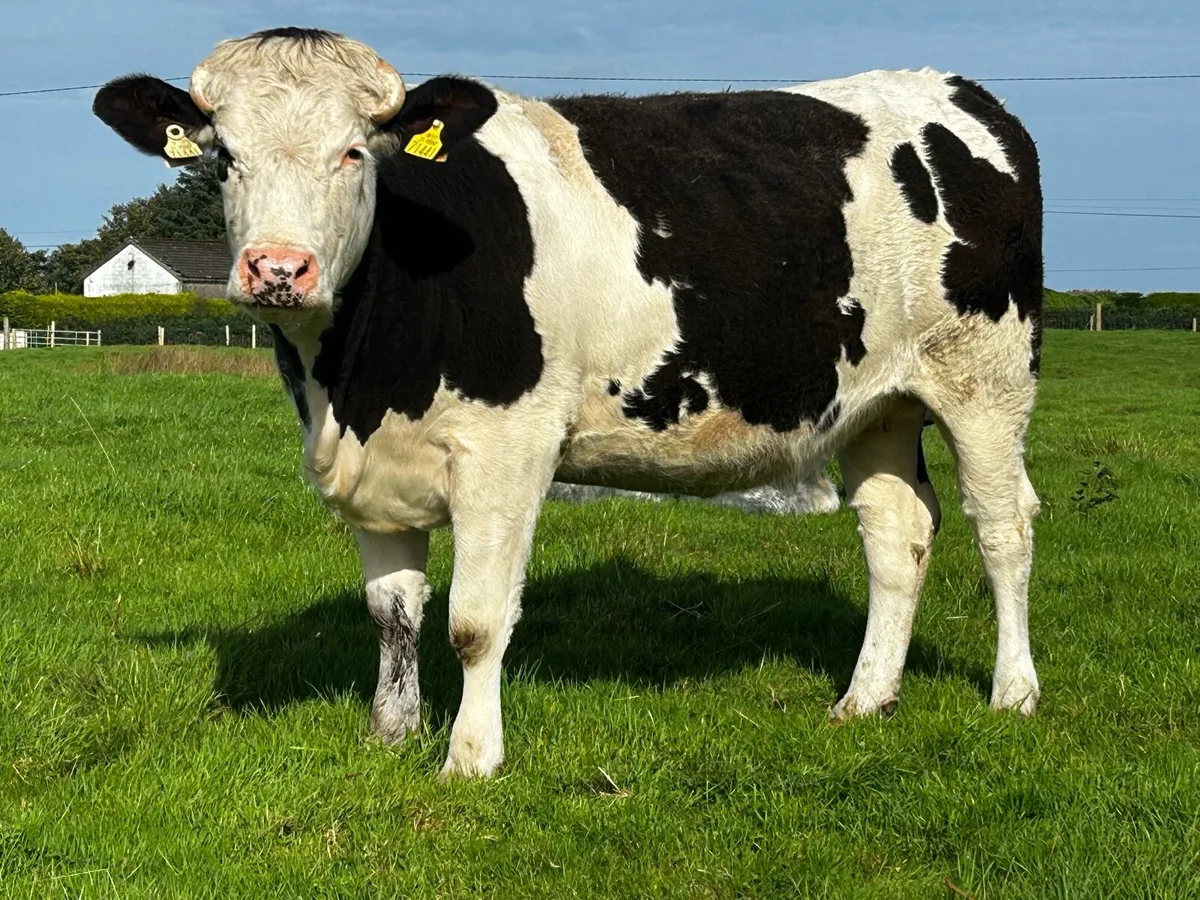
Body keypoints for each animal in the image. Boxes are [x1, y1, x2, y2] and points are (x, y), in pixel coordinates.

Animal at [93, 28, 1044, 778]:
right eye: (224, 156)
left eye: (355, 151)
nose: (279, 270)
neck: (355, 381)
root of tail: (956, 91)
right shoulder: (374, 465)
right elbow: (392, 613)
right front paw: (389, 736)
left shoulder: (506, 453)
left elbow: (475, 623)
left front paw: (469, 760)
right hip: (877, 403)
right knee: (897, 532)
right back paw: (865, 698)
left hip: (986, 377)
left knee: (1002, 528)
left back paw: (1014, 692)